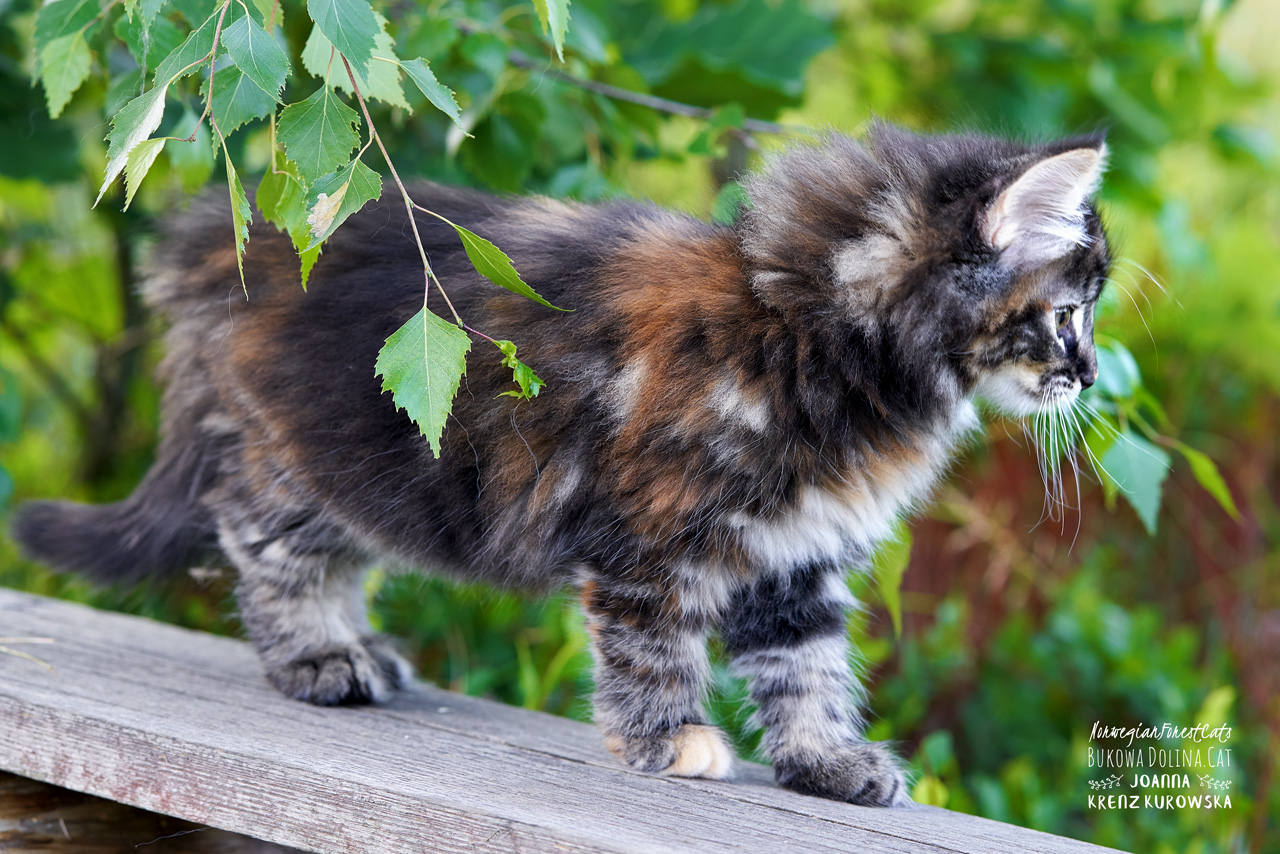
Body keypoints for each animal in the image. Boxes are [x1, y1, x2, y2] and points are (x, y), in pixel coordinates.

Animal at [11, 123, 1109, 807]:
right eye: (1066, 314)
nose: (1089, 374)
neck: (819, 330)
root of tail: (214, 242)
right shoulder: (648, 531)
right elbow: (651, 644)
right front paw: (668, 741)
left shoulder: (793, 555)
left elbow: (807, 667)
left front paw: (825, 762)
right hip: (309, 451)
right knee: (264, 540)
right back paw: (322, 655)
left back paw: (357, 646)